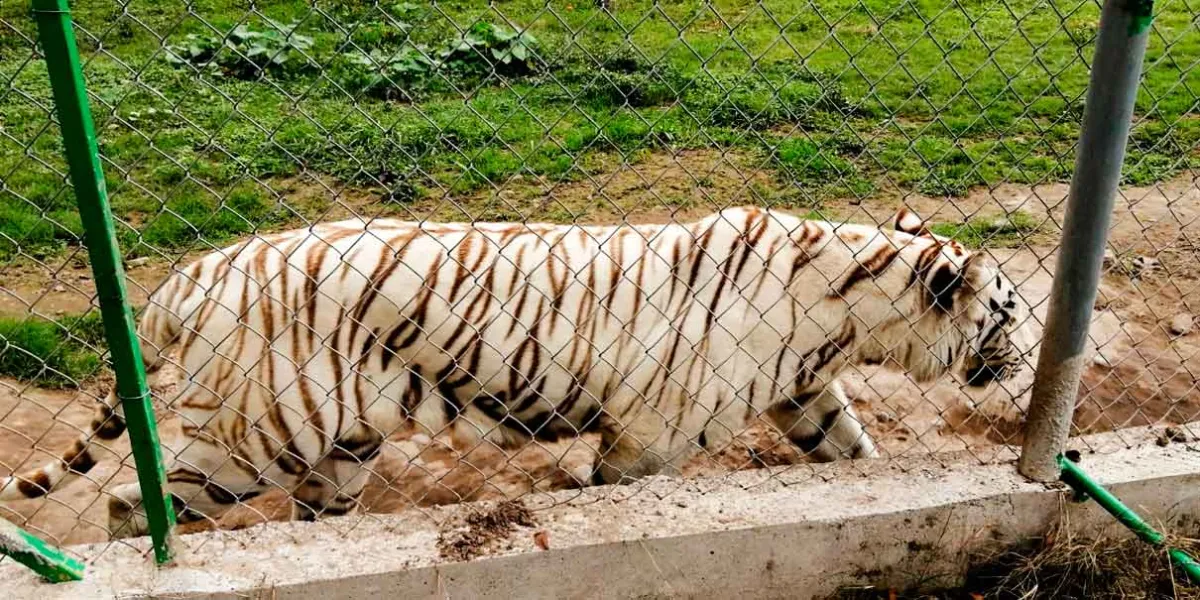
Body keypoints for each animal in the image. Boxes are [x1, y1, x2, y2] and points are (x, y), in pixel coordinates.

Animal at [0, 206, 1028, 537]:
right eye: (1011, 312)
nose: (1026, 359)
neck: (850, 311)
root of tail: (190, 274)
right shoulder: (652, 434)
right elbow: (615, 489)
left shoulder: (804, 390)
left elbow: (852, 454)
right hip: (258, 434)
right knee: (133, 504)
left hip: (341, 446)